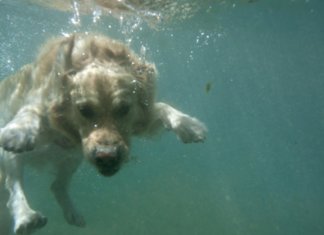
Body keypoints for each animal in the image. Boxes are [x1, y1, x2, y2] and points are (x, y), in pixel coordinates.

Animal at [0, 33, 208, 235]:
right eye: (83, 110)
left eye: (124, 108)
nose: (107, 156)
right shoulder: (44, 104)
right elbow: (30, 112)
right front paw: (17, 132)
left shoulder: (142, 119)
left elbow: (162, 107)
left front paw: (189, 125)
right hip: (14, 160)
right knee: (14, 188)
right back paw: (26, 217)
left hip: (71, 159)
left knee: (57, 186)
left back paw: (72, 213)